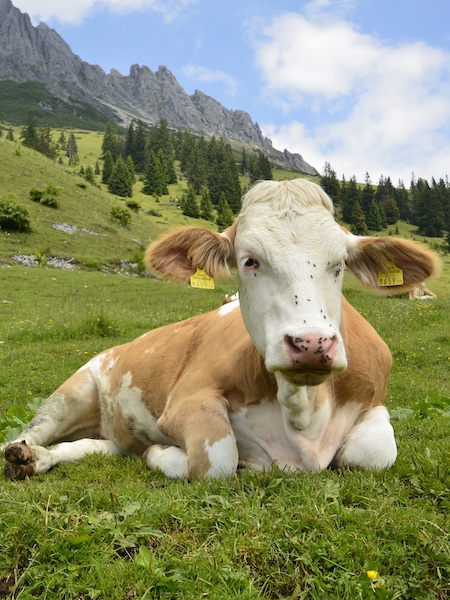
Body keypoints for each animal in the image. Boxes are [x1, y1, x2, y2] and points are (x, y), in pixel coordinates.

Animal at [3, 179, 439, 481]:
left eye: (340, 264)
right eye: (249, 261)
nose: (311, 343)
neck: (304, 412)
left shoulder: (375, 398)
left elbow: (374, 452)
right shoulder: (187, 400)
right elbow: (218, 460)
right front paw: (160, 455)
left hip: (110, 432)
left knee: (88, 447)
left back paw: (35, 459)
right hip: (74, 390)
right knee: (35, 429)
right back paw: (22, 451)